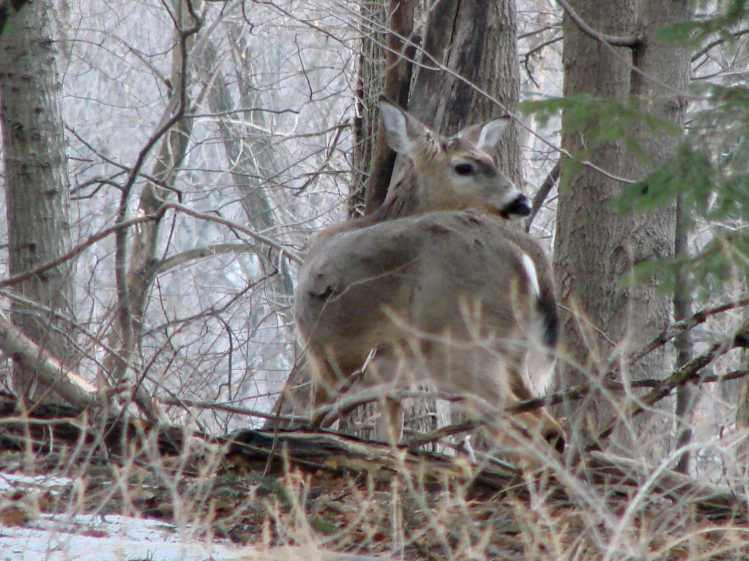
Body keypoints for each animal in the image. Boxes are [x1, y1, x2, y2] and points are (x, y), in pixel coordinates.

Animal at [294, 100, 562, 458]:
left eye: (491, 161)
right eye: (465, 166)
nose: (522, 202)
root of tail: (525, 258)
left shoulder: (326, 356)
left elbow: (318, 419)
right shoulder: (387, 376)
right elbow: (391, 433)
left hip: (460, 345)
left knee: (530, 428)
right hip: (515, 358)